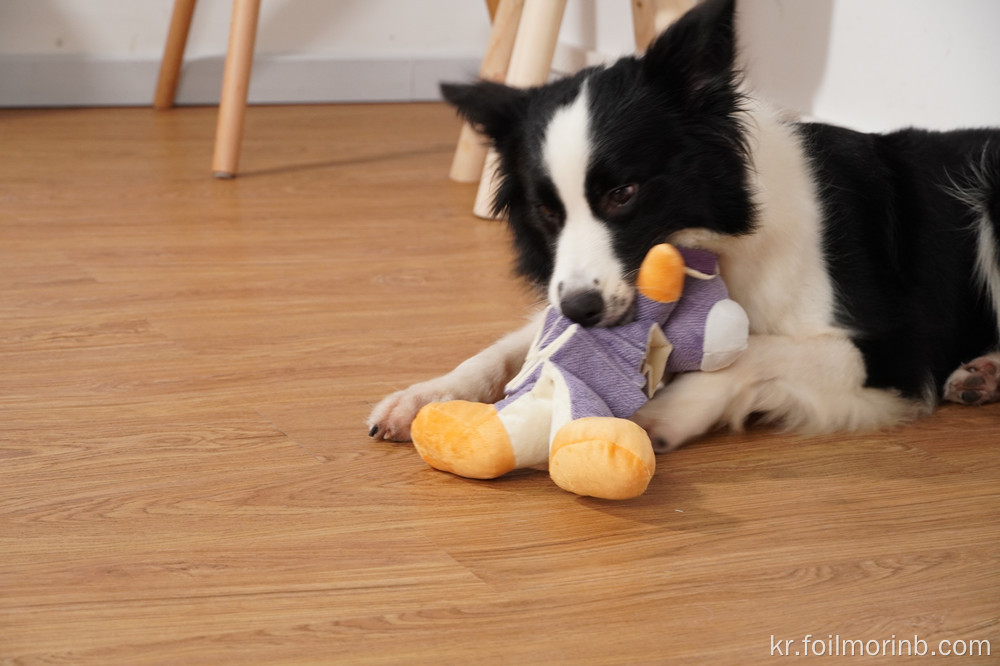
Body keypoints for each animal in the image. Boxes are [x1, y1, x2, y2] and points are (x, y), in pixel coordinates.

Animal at [370, 0, 1000, 452]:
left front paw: (658, 415)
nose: (580, 310)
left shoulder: (888, 351)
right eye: (548, 211)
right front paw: (425, 396)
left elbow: (754, 350)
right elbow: (509, 348)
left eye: (623, 193)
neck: (722, 237)